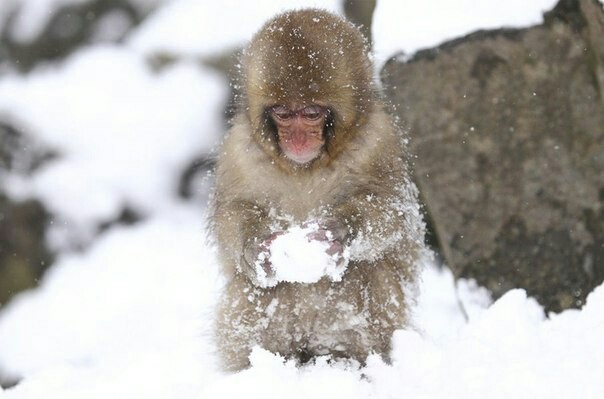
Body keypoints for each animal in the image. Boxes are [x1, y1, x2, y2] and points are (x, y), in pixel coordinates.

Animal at [210, 9, 428, 372]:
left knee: (372, 271)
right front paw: (256, 246)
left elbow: (394, 211)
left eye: (311, 113)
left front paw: (339, 230)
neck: (304, 167)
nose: (298, 140)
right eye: (283, 113)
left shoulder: (379, 142)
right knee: (251, 289)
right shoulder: (238, 150)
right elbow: (232, 212)